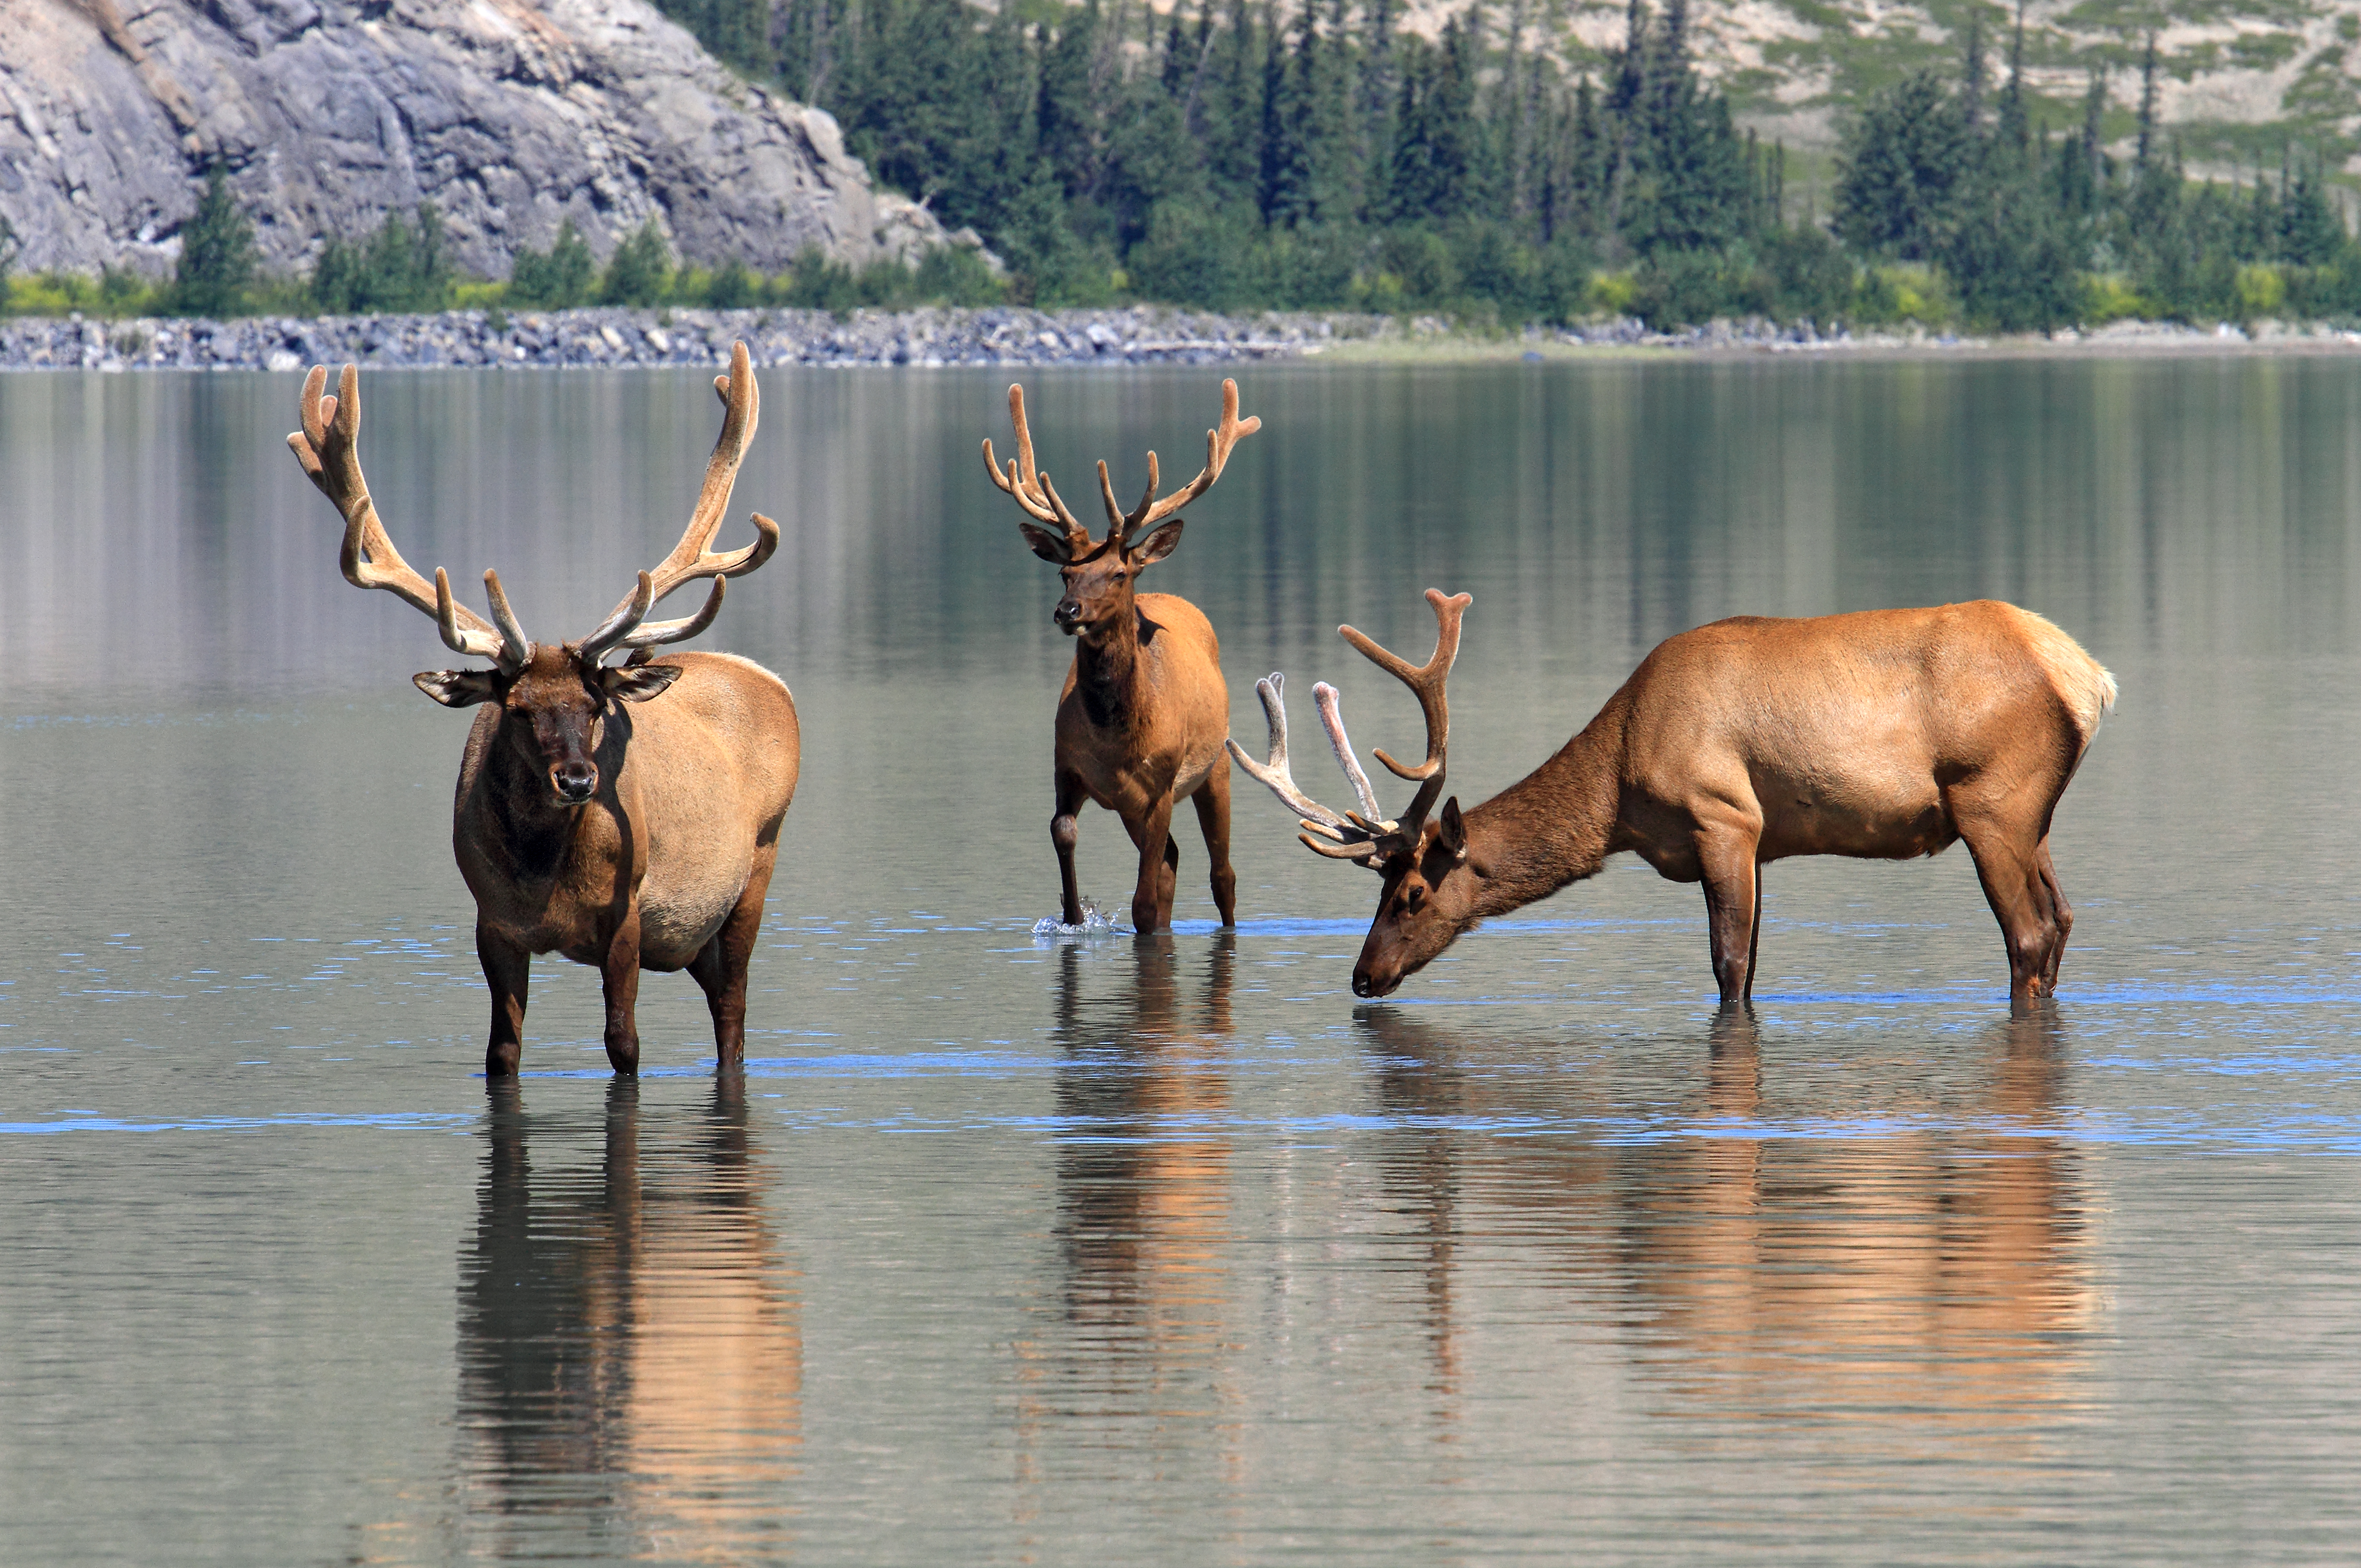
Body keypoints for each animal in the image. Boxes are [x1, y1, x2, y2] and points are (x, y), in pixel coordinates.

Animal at [287, 341, 800, 1077]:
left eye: (594, 705)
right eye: (518, 708)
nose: (580, 779)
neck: (544, 879)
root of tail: (767, 679)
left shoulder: (627, 915)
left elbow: (624, 1046)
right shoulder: (491, 923)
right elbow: (501, 1051)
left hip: (755, 870)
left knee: (732, 1019)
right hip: (695, 936)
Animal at [983, 380, 1259, 934]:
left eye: (1117, 573)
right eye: (1066, 572)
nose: (1067, 611)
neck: (1117, 742)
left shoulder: (1159, 787)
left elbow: (1143, 904)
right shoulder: (1068, 769)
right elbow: (1063, 830)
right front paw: (1073, 914)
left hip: (1216, 764)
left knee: (1221, 873)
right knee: (1173, 860)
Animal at [1231, 591, 2116, 1008]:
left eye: (1412, 892)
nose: (1362, 976)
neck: (1618, 791)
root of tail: (2087, 676)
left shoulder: (1723, 817)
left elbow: (1729, 966)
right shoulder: (1756, 842)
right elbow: (1752, 962)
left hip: (1991, 803)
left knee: (2026, 935)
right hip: (2030, 818)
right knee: (2064, 918)